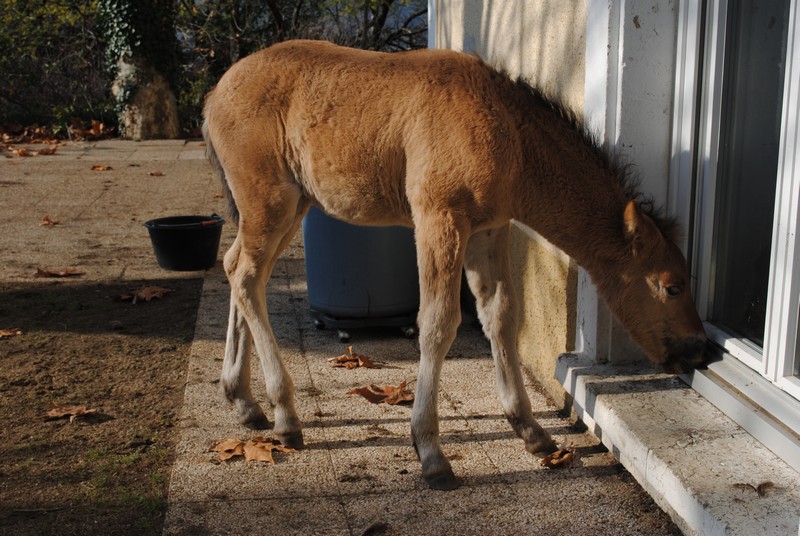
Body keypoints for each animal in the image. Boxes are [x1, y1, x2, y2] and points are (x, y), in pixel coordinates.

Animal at [205, 39, 708, 492]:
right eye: (672, 286)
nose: (700, 351)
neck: (511, 137)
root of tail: (213, 96)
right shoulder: (438, 217)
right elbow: (438, 324)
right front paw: (430, 453)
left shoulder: (490, 228)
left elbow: (501, 315)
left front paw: (530, 430)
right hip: (271, 200)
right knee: (246, 276)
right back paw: (285, 417)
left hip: (292, 205)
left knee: (237, 269)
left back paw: (244, 401)